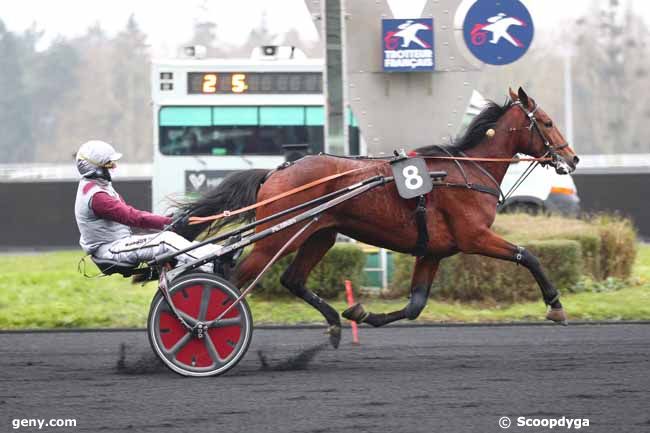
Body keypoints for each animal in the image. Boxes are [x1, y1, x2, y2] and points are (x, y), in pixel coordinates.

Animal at [175, 88, 580, 348]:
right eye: (547, 122)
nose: (572, 158)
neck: (467, 171)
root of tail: (277, 171)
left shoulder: (433, 251)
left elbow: (415, 305)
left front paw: (360, 311)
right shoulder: (475, 237)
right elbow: (528, 255)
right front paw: (556, 306)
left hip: (319, 234)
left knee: (292, 279)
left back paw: (335, 324)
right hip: (276, 236)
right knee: (230, 278)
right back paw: (205, 327)